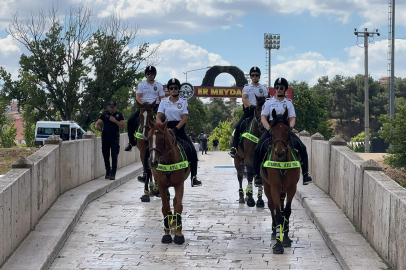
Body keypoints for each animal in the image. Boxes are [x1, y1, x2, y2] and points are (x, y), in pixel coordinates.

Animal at [260, 107, 302, 253]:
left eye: (287, 129)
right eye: (272, 130)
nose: (279, 152)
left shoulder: (291, 188)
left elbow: (287, 212)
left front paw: (287, 238)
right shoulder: (274, 187)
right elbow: (278, 214)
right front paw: (278, 244)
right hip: (267, 187)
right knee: (272, 206)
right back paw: (274, 231)